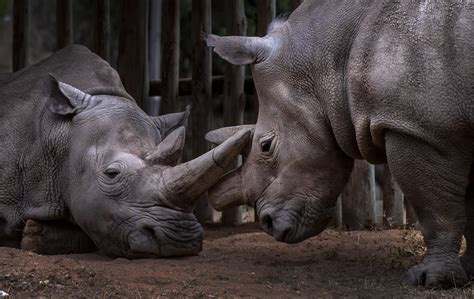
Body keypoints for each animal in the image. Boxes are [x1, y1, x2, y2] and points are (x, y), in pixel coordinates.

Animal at [206, 0, 472, 290]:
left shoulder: (415, 127)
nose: (268, 224)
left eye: (265, 146)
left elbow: (435, 209)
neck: (323, 58)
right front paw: (469, 269)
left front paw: (431, 279)